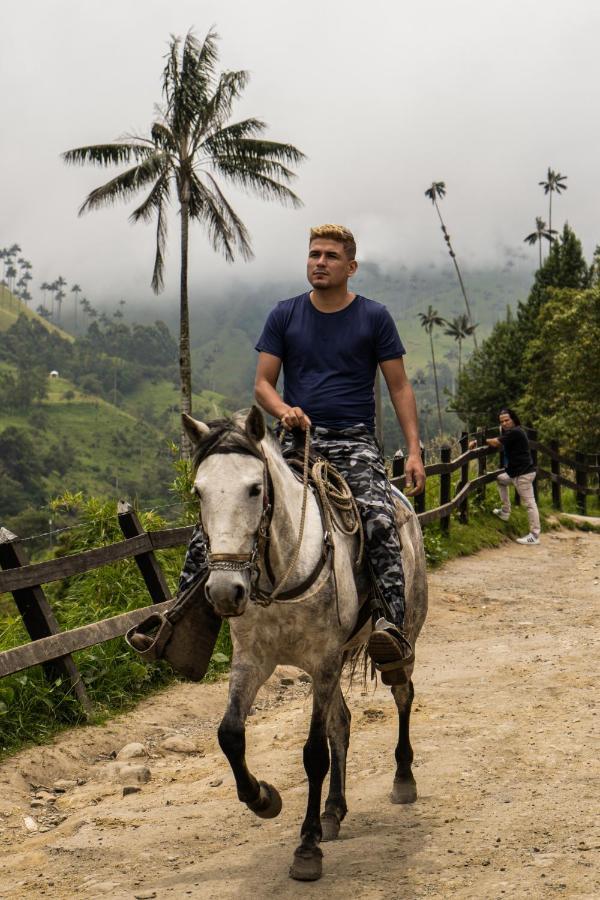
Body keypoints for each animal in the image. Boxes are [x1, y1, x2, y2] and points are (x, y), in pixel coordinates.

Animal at [183, 406, 426, 880]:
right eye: (199, 492)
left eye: (255, 488)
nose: (224, 592)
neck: (283, 569)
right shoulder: (252, 662)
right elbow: (230, 735)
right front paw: (263, 798)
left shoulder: (325, 660)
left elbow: (314, 753)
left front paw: (307, 846)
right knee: (342, 723)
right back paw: (333, 810)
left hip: (403, 635)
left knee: (403, 693)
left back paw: (403, 779)